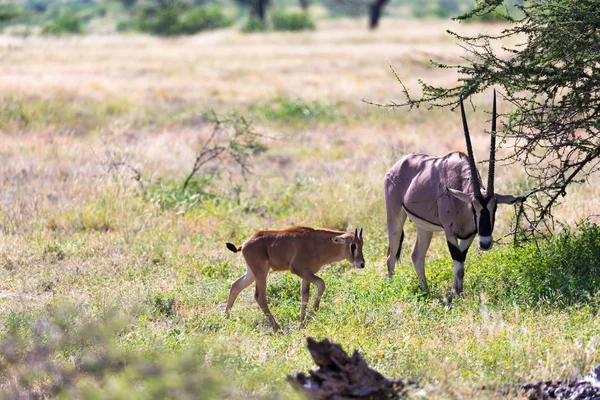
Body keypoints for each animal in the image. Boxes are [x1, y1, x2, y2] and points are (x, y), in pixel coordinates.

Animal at [225, 225, 366, 332]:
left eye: (362, 244)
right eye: (353, 245)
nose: (362, 264)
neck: (315, 242)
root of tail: (243, 245)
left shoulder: (307, 274)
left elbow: (305, 295)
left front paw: (302, 324)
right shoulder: (298, 270)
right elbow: (321, 284)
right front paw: (311, 315)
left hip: (251, 274)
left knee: (235, 286)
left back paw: (226, 319)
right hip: (261, 273)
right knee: (259, 296)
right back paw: (277, 328)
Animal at [386, 93, 524, 294]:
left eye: (495, 207)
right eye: (473, 206)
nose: (485, 244)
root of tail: (398, 165)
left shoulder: (470, 235)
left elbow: (461, 265)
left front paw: (459, 292)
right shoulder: (449, 232)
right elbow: (457, 264)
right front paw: (455, 295)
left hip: (424, 228)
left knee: (417, 256)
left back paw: (426, 291)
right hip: (395, 220)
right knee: (390, 255)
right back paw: (391, 287)